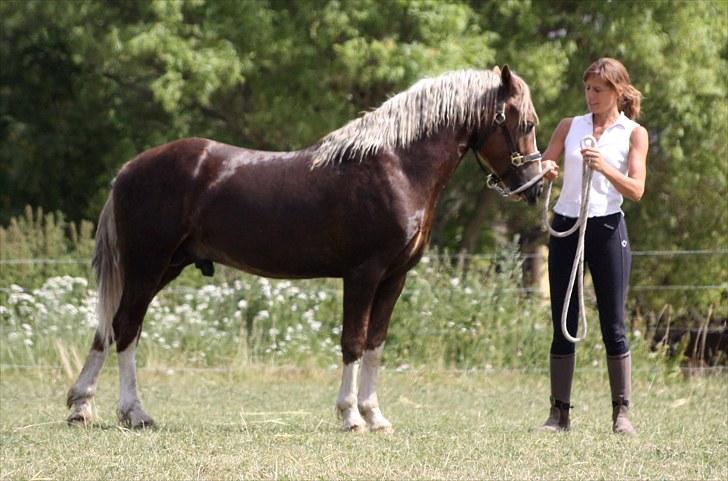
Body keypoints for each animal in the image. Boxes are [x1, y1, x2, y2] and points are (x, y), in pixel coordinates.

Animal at [68, 64, 544, 432]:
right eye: (526, 123)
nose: (535, 188)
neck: (397, 166)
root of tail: (130, 169)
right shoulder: (363, 274)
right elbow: (353, 342)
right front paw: (350, 416)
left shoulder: (394, 278)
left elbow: (376, 343)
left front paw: (374, 415)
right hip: (148, 264)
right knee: (126, 327)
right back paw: (134, 412)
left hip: (165, 266)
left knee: (113, 326)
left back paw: (82, 406)